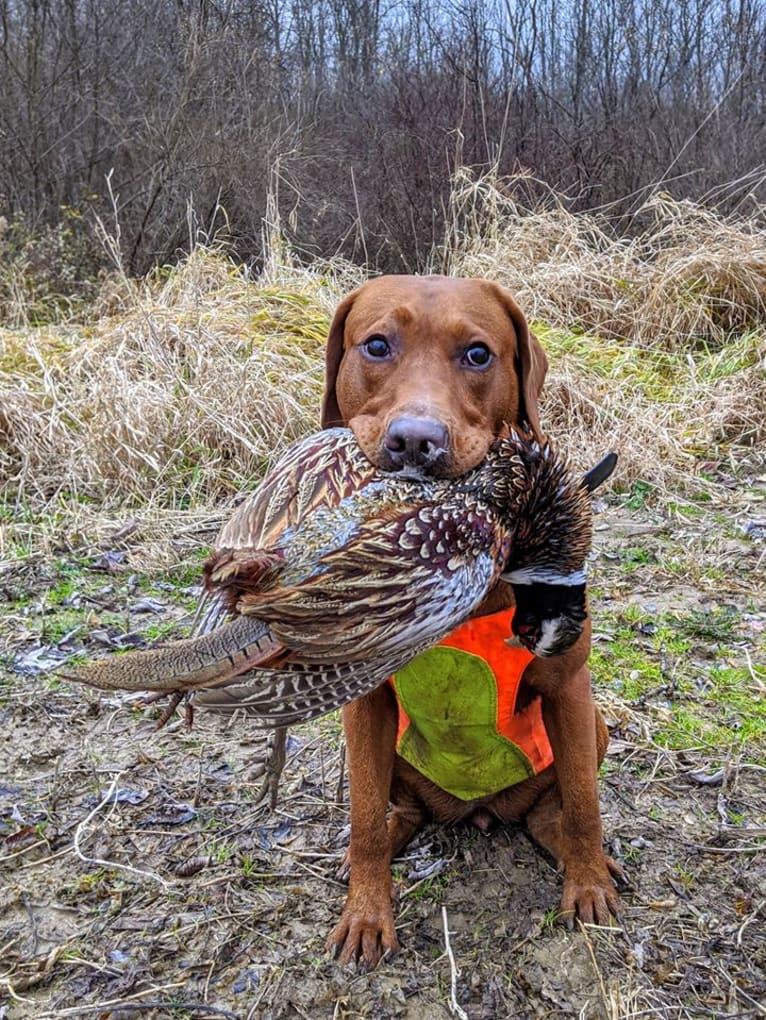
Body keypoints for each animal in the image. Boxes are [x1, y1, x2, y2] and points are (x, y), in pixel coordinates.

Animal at [318, 275, 624, 966]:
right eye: (376, 345)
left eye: (479, 354)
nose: (414, 440)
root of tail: (478, 811)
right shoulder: (364, 703)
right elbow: (362, 820)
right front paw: (365, 912)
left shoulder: (570, 690)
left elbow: (587, 807)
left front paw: (589, 886)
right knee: (389, 813)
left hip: (590, 724)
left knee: (554, 812)